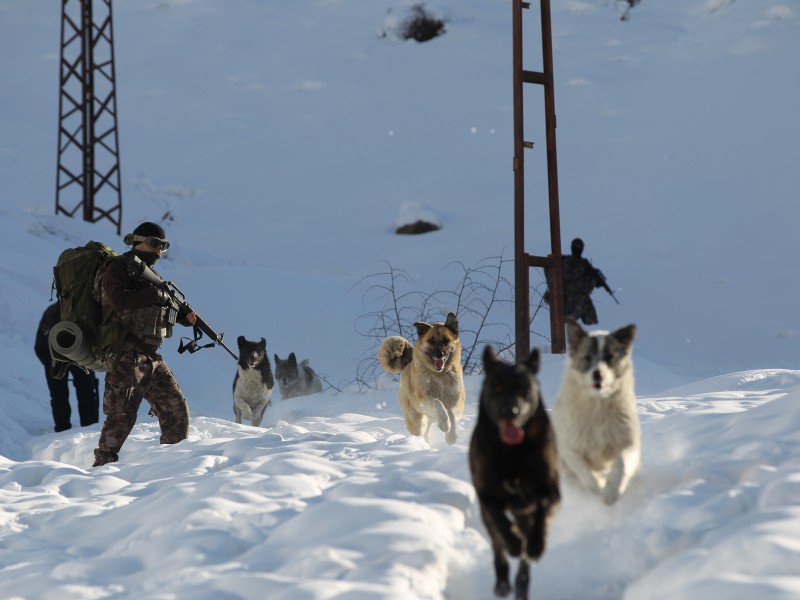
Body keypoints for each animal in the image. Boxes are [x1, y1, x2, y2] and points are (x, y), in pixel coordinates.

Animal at [378, 314, 466, 446]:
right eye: (431, 341)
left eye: (446, 340)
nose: (439, 354)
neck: (439, 375)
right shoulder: (424, 399)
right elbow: (438, 404)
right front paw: (445, 424)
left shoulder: (454, 399)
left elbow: (452, 414)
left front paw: (451, 436)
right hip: (416, 418)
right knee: (420, 431)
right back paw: (419, 443)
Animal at [472, 346, 560, 600]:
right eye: (497, 388)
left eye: (524, 390)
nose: (510, 412)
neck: (513, 452)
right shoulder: (486, 495)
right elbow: (500, 521)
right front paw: (513, 542)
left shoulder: (550, 489)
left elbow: (543, 508)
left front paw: (536, 545)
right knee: (497, 546)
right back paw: (503, 581)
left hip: (524, 514)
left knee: (523, 564)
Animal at [552, 322, 640, 504]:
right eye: (587, 357)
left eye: (609, 356)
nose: (597, 374)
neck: (598, 406)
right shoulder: (571, 450)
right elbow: (587, 475)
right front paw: (598, 491)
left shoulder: (628, 442)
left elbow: (621, 463)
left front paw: (611, 493)